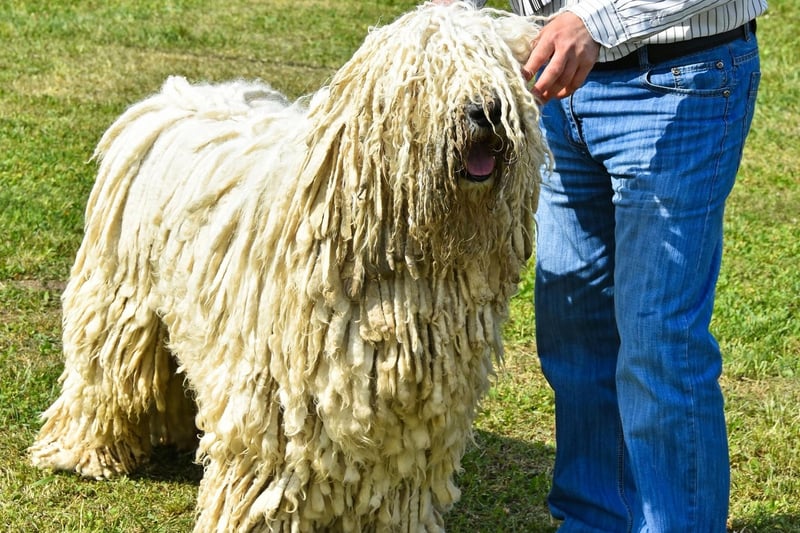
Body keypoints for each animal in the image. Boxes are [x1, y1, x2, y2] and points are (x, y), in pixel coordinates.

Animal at [29, 4, 544, 532]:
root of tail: (171, 95)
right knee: (104, 372)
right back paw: (83, 453)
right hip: (120, 292)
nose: (486, 111)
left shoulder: (416, 416)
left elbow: (396, 482)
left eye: (501, 68)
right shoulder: (277, 396)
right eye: (426, 76)